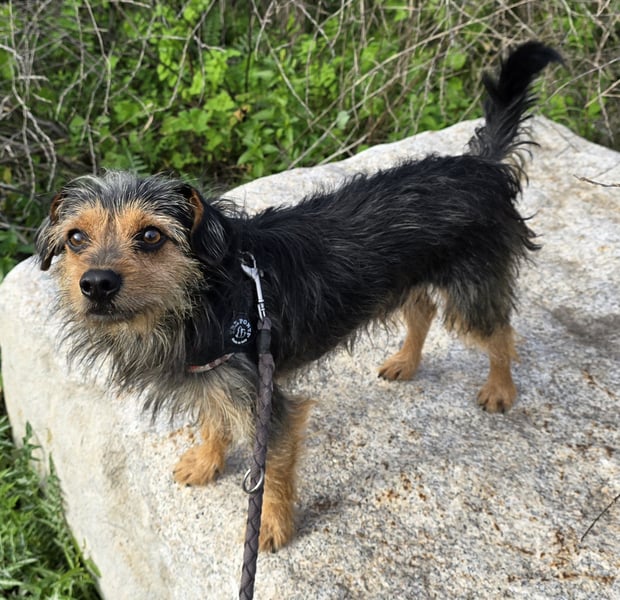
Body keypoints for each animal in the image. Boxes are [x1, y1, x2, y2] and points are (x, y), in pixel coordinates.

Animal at [36, 41, 560, 552]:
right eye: (76, 239)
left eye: (150, 236)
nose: (96, 284)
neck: (204, 297)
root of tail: (481, 166)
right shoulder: (218, 377)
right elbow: (213, 421)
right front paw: (207, 461)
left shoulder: (266, 404)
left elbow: (270, 472)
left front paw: (270, 526)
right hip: (412, 278)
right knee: (423, 308)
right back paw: (405, 362)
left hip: (472, 290)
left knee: (499, 330)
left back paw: (500, 388)